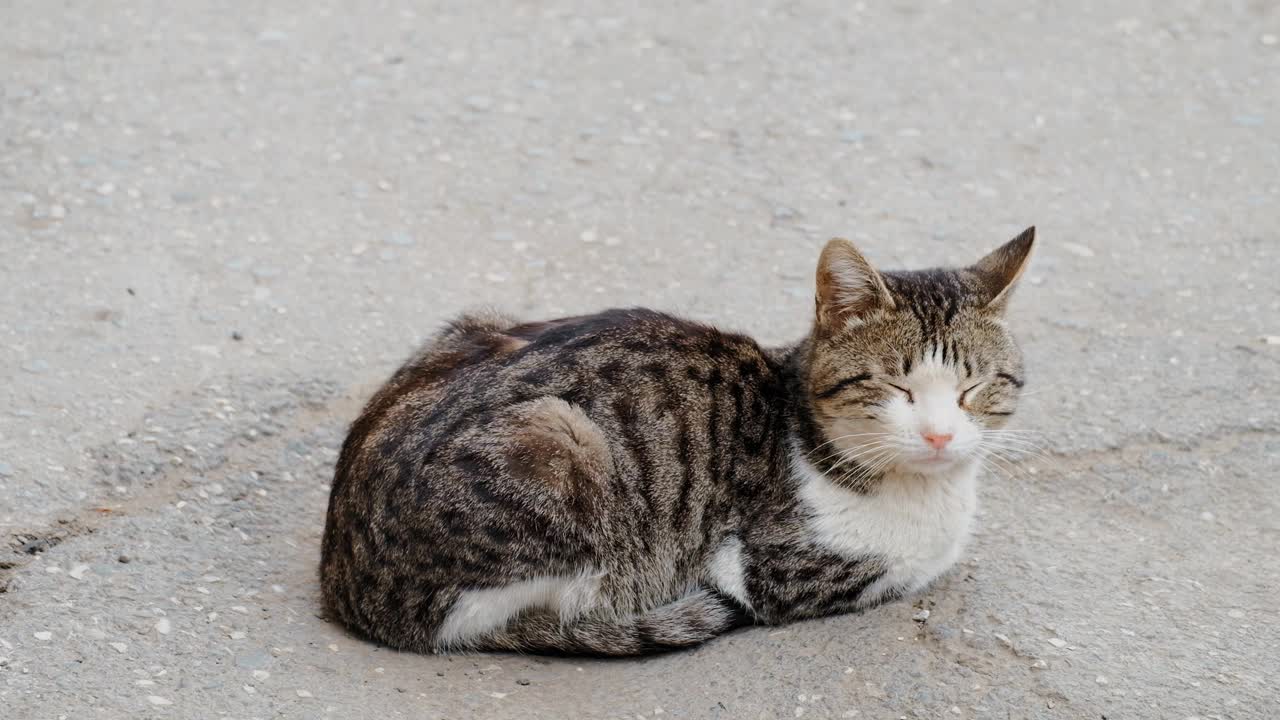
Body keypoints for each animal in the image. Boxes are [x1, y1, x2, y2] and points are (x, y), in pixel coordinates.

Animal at [320, 226, 1039, 653]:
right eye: (897, 388)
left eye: (975, 388)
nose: (941, 435)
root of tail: (346, 584)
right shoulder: (767, 569)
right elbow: (906, 568)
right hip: (562, 446)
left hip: (477, 321)